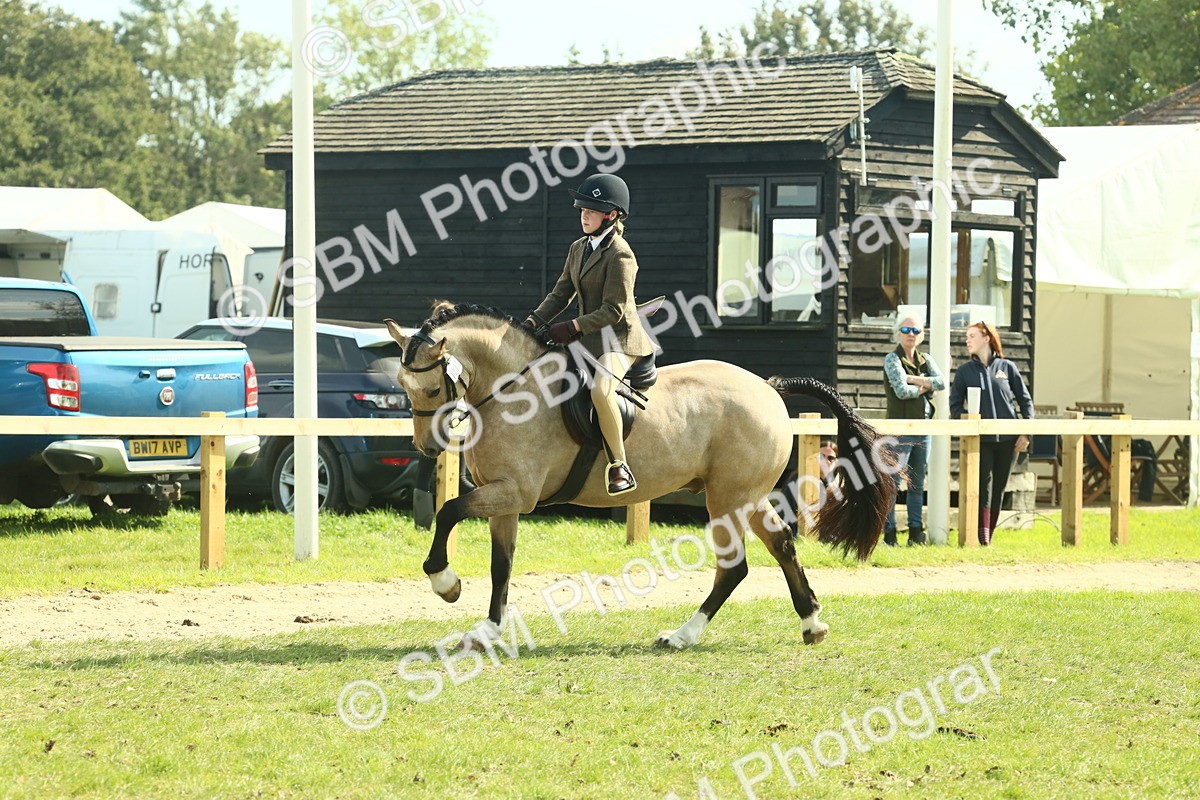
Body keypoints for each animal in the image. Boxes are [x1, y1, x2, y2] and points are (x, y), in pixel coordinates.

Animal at [383, 305, 894, 650]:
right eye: (403, 388)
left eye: (432, 388)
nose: (427, 448)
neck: (514, 390)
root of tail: (769, 387)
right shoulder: (504, 499)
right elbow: (500, 566)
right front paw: (487, 631)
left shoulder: (515, 494)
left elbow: (449, 511)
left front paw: (444, 583)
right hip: (746, 495)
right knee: (783, 544)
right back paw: (812, 623)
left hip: (727, 499)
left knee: (735, 567)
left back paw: (683, 635)